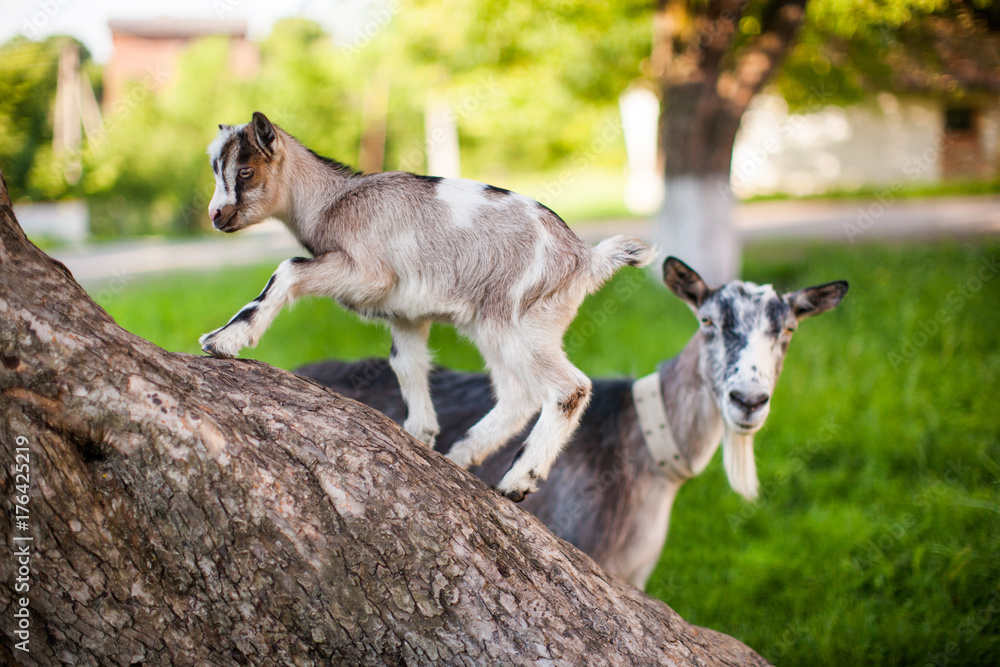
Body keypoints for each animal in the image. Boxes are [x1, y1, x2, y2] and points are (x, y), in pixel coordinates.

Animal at [199, 111, 655, 500]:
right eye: (216, 170)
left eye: (245, 171)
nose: (216, 216)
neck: (334, 201)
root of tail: (587, 259)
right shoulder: (404, 315)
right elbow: (406, 365)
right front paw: (421, 437)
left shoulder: (366, 272)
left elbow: (288, 269)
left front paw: (224, 339)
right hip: (501, 326)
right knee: (519, 395)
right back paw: (461, 456)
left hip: (515, 321)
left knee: (568, 388)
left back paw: (517, 480)